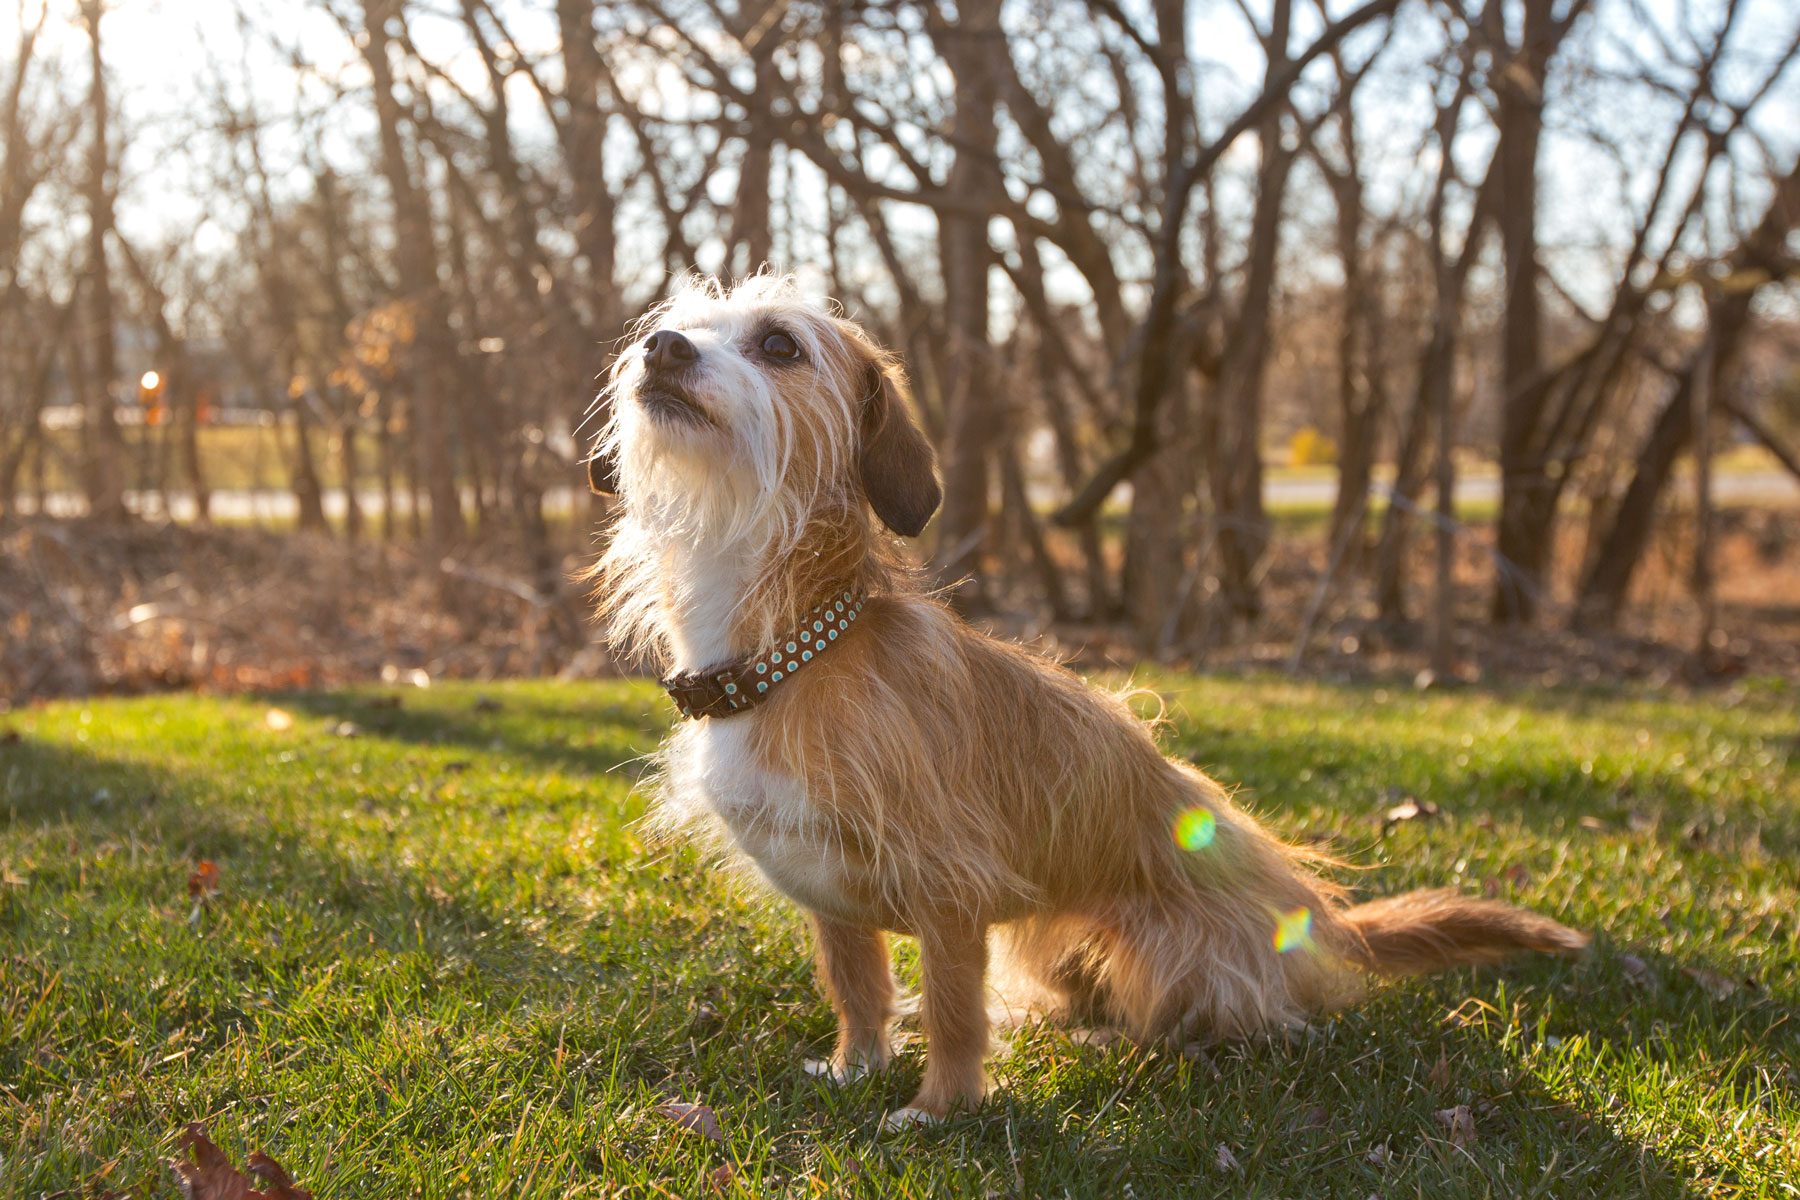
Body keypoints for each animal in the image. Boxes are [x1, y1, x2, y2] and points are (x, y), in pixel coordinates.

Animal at [583, 277, 1584, 1129]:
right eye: (674, 324)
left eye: (779, 344)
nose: (661, 349)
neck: (793, 650)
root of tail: (1312, 920)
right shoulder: (830, 896)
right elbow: (860, 991)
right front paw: (853, 1069)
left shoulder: (952, 894)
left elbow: (951, 1012)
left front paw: (938, 1111)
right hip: (1044, 934)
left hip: (1166, 951)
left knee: (1240, 1021)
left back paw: (1129, 1040)